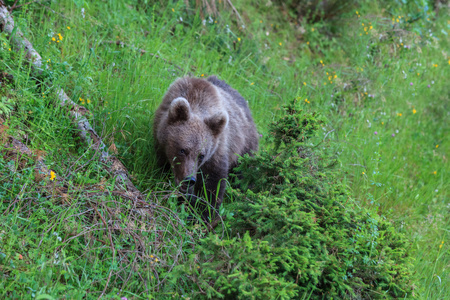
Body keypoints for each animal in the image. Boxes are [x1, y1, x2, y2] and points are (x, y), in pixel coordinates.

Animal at [153, 76, 258, 219]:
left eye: (201, 155)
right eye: (182, 150)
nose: (190, 179)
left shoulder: (217, 151)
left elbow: (212, 186)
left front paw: (203, 213)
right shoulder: (161, 142)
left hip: (244, 149)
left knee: (243, 176)